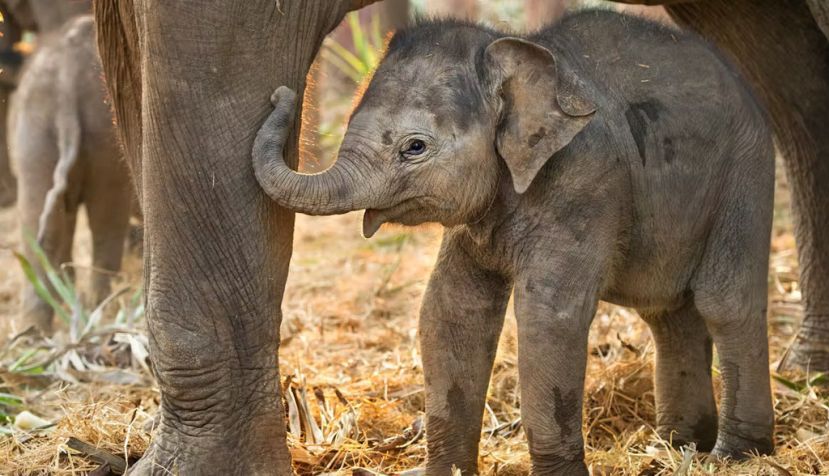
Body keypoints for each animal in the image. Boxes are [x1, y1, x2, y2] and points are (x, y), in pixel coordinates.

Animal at [9, 13, 132, 334]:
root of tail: (67, 79)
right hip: (103, 138)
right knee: (106, 220)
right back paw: (101, 308)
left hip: (36, 134)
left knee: (39, 225)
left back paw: (32, 332)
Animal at [253, 10, 775, 475]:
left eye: (414, 147)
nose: (282, 93)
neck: (516, 54)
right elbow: (450, 310)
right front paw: (442, 472)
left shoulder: (585, 180)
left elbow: (549, 315)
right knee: (668, 314)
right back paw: (674, 445)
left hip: (745, 175)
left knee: (724, 302)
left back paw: (733, 455)